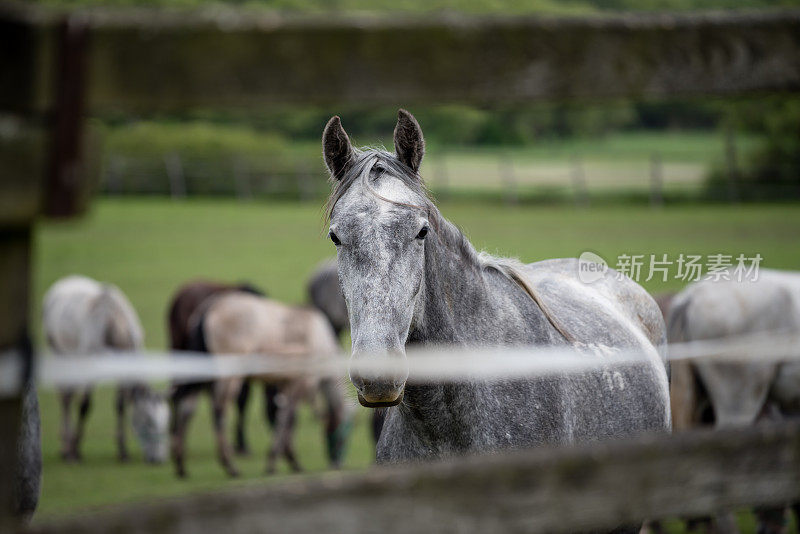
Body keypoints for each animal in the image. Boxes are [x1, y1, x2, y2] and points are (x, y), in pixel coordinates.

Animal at [43, 276, 169, 464]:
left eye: (166, 422)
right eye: (148, 421)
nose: (159, 459)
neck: (113, 323)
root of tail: (64, 281)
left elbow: (120, 406)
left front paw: (123, 451)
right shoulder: (91, 367)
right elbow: (85, 406)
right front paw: (75, 451)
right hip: (58, 351)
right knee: (66, 397)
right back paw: (66, 448)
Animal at [169, 294, 350, 482]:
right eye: (345, 434)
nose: (337, 464)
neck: (318, 338)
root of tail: (211, 306)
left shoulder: (285, 385)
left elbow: (282, 418)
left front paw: (283, 458)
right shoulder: (301, 383)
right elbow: (289, 419)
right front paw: (285, 461)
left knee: (187, 407)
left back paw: (181, 465)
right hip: (230, 376)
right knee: (219, 411)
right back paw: (230, 465)